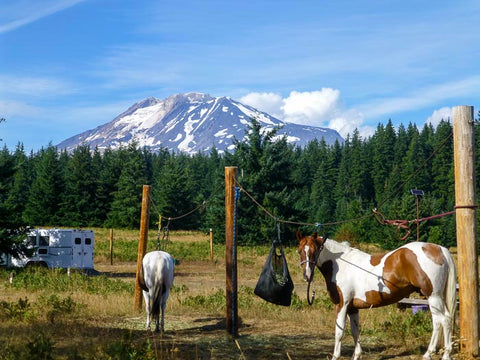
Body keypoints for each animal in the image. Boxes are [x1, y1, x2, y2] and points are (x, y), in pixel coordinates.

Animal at [296, 231, 458, 360]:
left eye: (315, 250)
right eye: (299, 251)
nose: (307, 275)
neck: (340, 265)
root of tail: (439, 249)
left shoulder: (341, 305)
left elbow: (339, 331)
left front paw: (335, 356)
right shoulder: (353, 308)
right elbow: (355, 331)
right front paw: (357, 355)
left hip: (433, 297)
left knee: (443, 320)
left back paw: (440, 354)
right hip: (436, 298)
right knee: (441, 320)